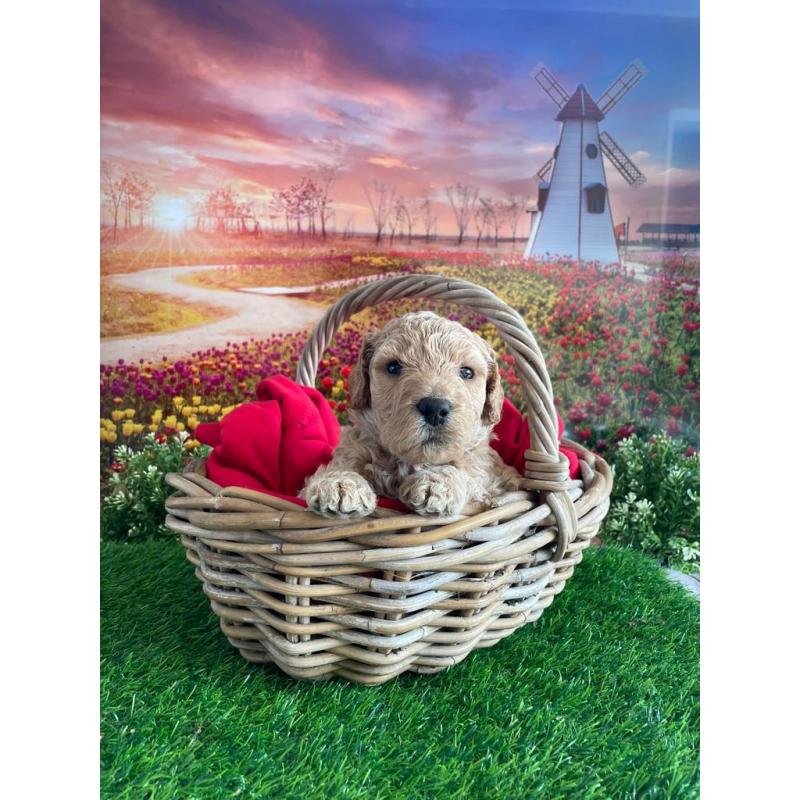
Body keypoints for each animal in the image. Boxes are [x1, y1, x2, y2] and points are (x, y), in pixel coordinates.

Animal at [300, 310, 520, 516]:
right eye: (393, 367)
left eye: (467, 372)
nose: (435, 408)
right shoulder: (358, 442)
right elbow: (345, 461)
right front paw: (339, 482)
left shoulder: (486, 471)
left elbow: (464, 469)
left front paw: (436, 483)